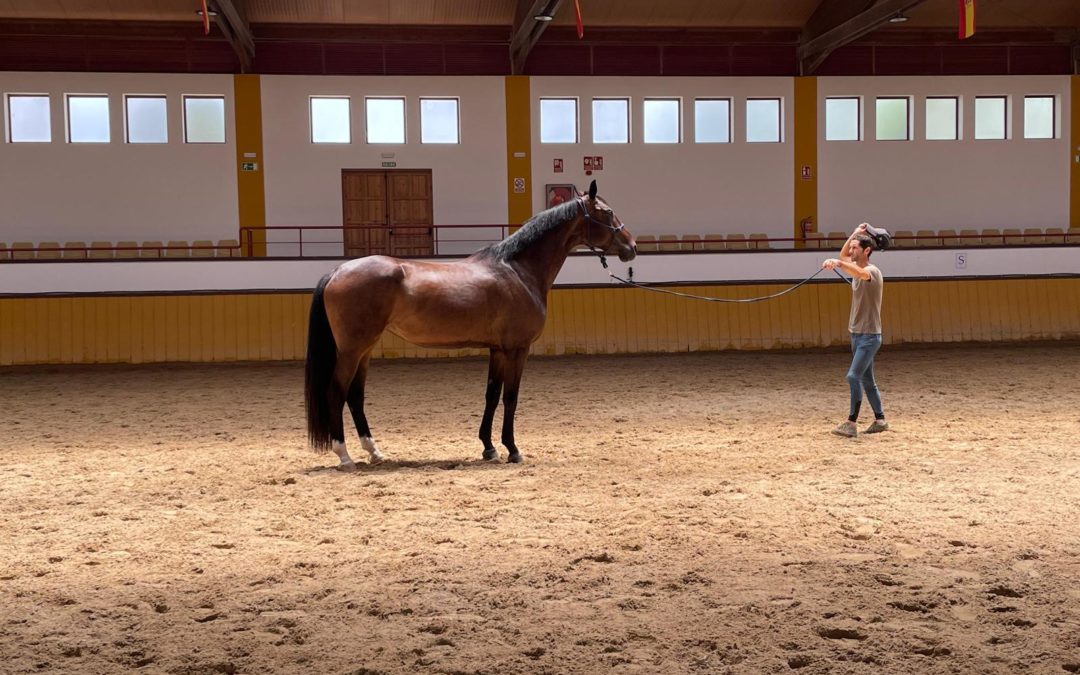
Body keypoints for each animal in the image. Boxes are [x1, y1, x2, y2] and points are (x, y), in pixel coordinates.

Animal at [304, 181, 635, 470]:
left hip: (365, 349)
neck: (517, 270)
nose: (631, 245)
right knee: (336, 391)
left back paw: (374, 452)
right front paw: (512, 449)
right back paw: (345, 456)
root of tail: (338, 270)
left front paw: (489, 448)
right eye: (607, 212)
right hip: (352, 350)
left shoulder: (498, 350)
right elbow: (510, 397)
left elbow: (491, 395)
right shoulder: (517, 349)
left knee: (355, 395)